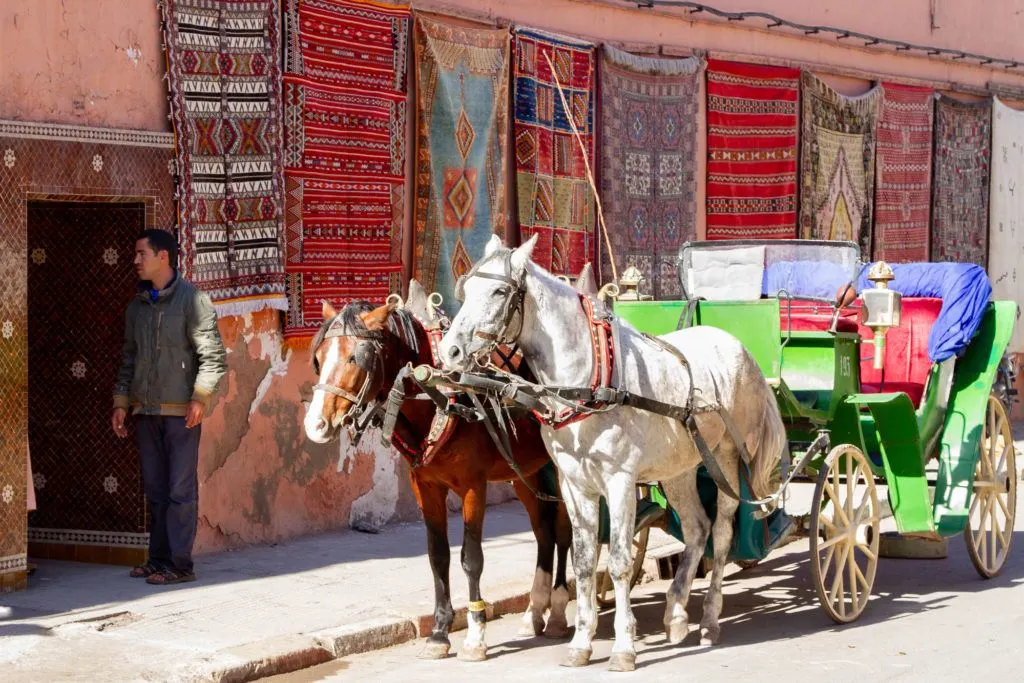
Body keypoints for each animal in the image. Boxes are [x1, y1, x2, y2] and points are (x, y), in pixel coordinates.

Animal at [303, 281, 572, 662]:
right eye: (319, 358)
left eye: (357, 358)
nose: (316, 425)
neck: (440, 395)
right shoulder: (425, 486)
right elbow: (438, 556)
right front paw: (439, 633)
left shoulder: (474, 486)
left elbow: (471, 557)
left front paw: (475, 634)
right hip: (526, 472)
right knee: (543, 532)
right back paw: (534, 612)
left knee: (564, 530)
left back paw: (560, 611)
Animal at [439, 234, 787, 671]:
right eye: (465, 289)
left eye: (500, 292)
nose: (448, 352)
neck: (587, 380)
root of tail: (738, 347)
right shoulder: (574, 484)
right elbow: (585, 562)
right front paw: (580, 643)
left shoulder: (619, 481)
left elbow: (619, 562)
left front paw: (623, 647)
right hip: (679, 467)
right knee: (696, 529)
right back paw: (676, 613)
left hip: (726, 459)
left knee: (722, 533)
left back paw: (708, 619)